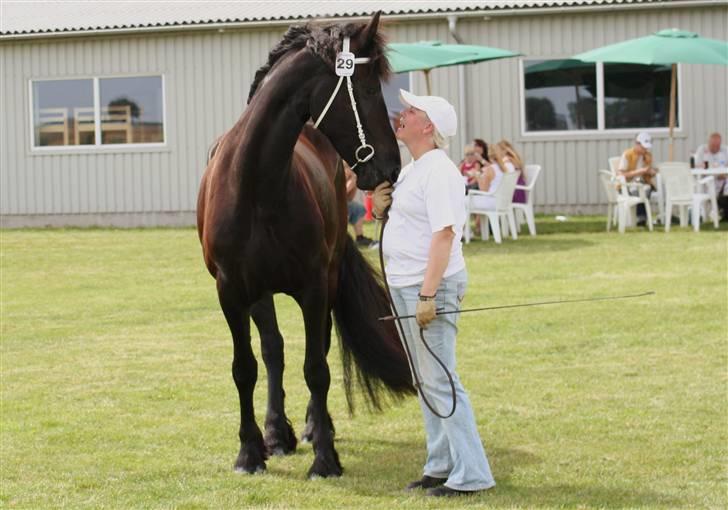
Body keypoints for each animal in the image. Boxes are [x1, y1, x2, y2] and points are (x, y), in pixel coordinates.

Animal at [196, 13, 416, 480]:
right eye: (369, 88)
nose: (391, 167)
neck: (256, 186)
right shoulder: (232, 292)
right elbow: (246, 367)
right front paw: (250, 452)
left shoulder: (314, 288)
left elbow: (317, 367)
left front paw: (325, 457)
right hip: (260, 293)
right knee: (273, 351)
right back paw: (277, 433)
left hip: (327, 280)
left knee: (320, 350)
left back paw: (317, 428)